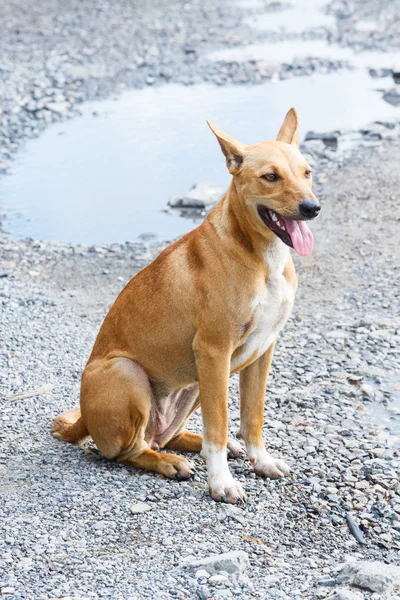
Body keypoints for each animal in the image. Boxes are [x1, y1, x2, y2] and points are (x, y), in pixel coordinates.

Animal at [53, 108, 320, 502]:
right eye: (270, 177)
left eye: (307, 172)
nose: (312, 208)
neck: (262, 257)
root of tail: (84, 418)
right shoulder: (214, 349)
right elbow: (220, 426)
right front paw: (222, 483)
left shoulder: (262, 351)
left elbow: (252, 417)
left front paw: (260, 460)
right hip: (130, 373)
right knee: (133, 451)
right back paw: (170, 464)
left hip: (195, 384)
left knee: (169, 436)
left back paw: (203, 448)